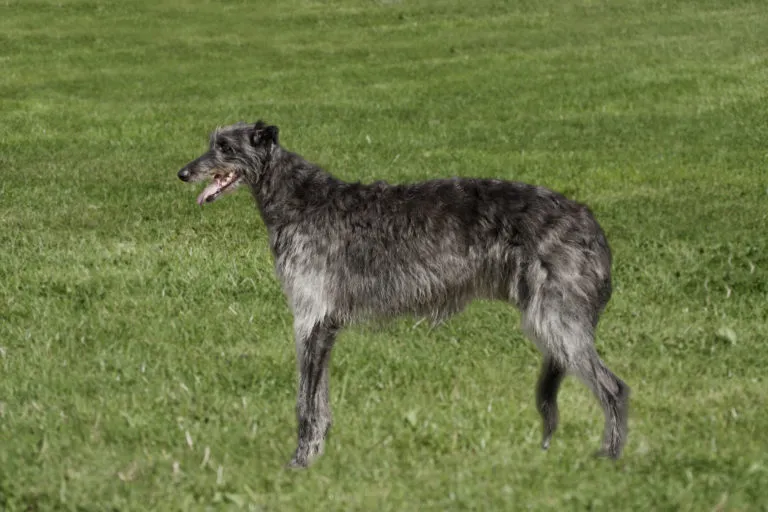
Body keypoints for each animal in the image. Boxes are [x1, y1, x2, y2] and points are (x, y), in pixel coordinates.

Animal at [178, 120, 632, 468]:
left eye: (225, 147)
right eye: (211, 142)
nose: (182, 173)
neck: (298, 201)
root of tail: (590, 222)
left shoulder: (311, 319)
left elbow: (305, 403)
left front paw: (300, 462)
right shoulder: (324, 326)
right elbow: (320, 402)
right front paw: (318, 455)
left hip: (556, 320)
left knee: (615, 389)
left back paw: (609, 459)